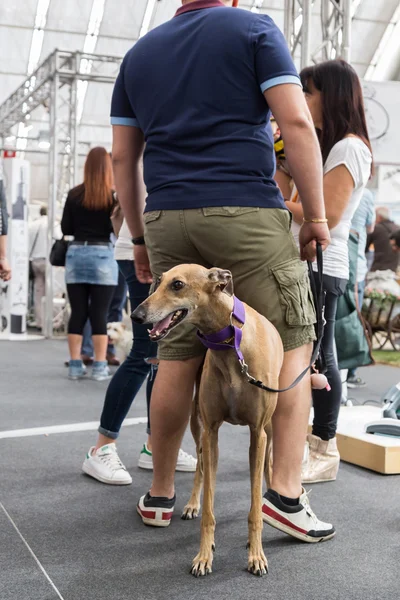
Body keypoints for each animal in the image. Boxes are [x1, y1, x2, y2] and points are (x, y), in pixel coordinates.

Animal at [133, 266, 282, 576]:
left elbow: (253, 507)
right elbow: (210, 508)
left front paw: (256, 554)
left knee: (267, 467)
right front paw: (203, 556)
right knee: (202, 467)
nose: (136, 315)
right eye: (158, 282)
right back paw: (192, 504)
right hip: (199, 428)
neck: (230, 343)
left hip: (269, 429)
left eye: (177, 285)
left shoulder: (258, 433)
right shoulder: (211, 430)